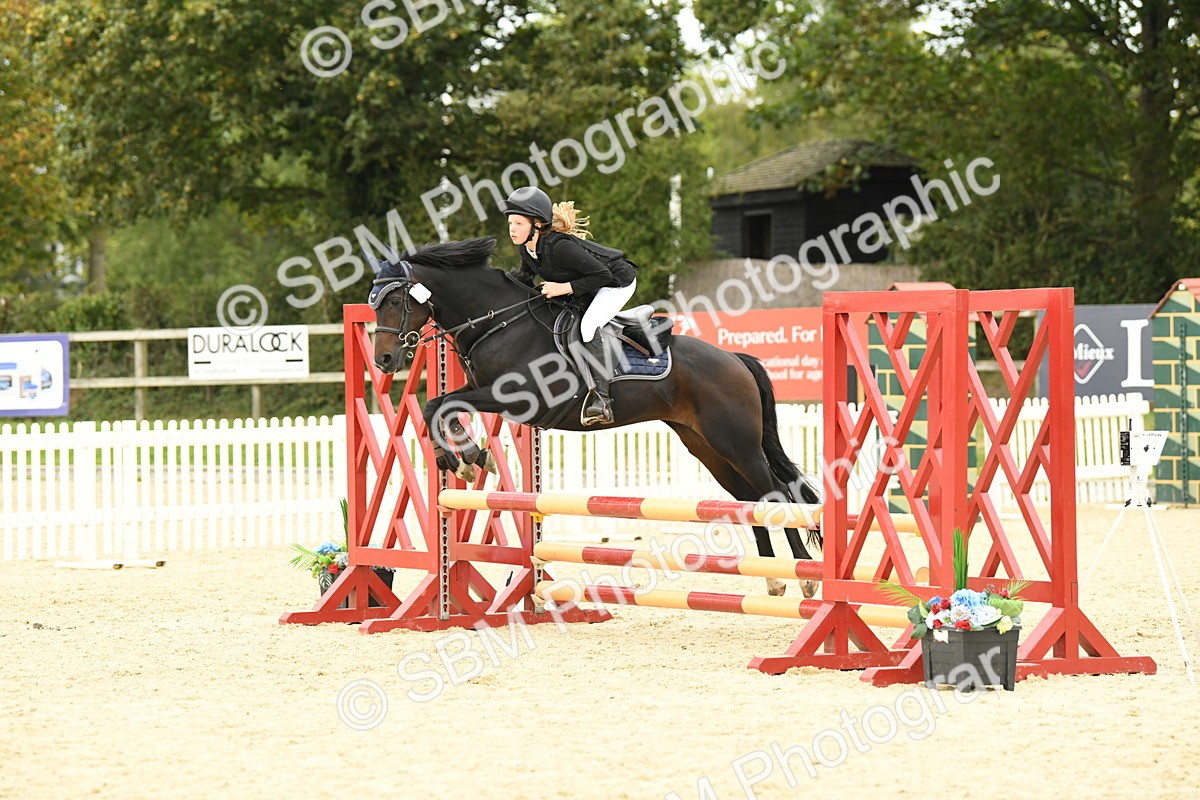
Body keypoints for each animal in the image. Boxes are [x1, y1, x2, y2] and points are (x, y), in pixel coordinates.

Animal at [368, 236, 823, 596]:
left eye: (395, 300)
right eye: (374, 304)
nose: (384, 360)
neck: (499, 322)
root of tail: (734, 359)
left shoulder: (518, 398)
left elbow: (443, 406)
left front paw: (466, 459)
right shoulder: (484, 392)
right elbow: (437, 406)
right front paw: (461, 459)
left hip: (736, 442)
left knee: (776, 494)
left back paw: (803, 577)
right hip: (706, 446)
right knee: (751, 498)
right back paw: (773, 578)